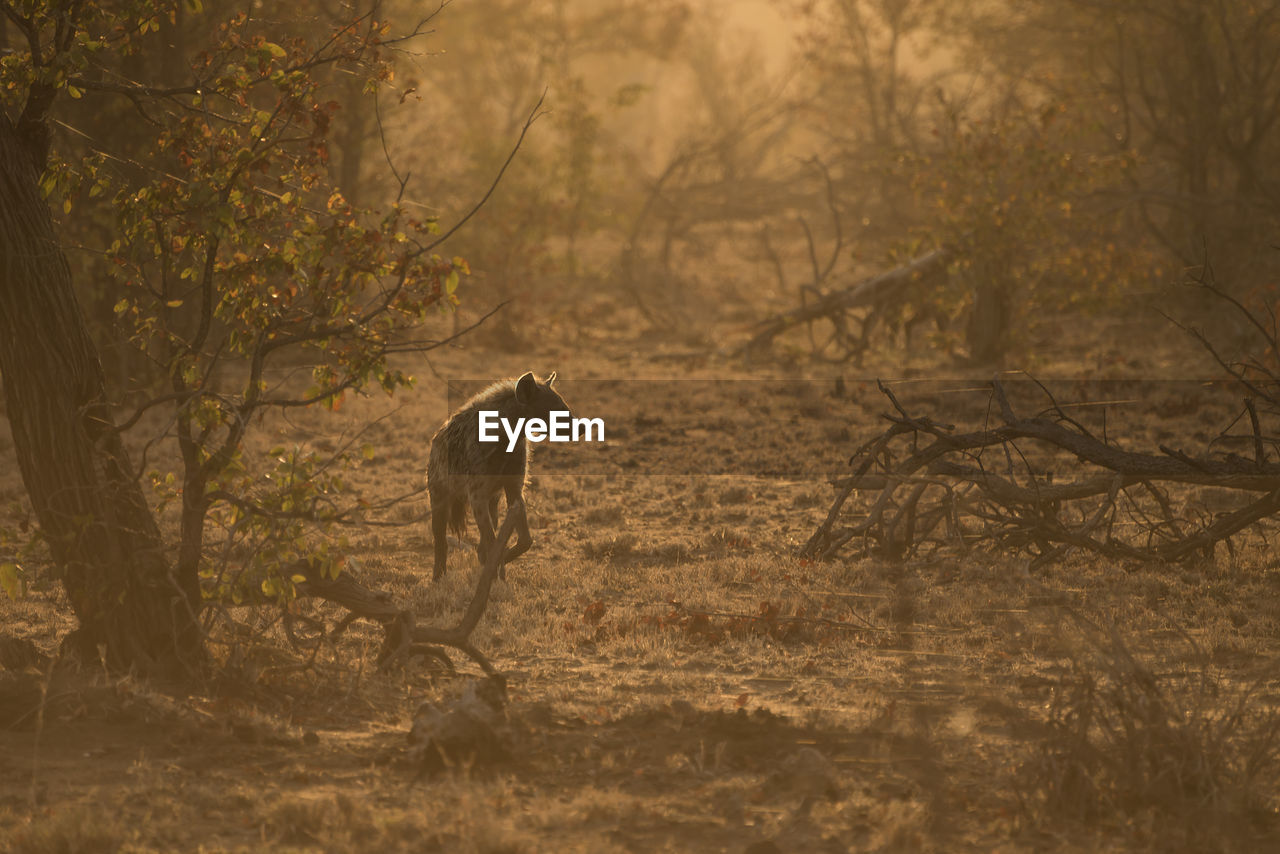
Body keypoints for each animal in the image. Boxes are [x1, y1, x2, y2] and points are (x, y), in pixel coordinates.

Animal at [427, 371, 568, 581]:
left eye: (565, 406)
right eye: (556, 410)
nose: (582, 427)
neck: (507, 440)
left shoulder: (514, 486)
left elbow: (524, 539)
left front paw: (497, 566)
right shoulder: (476, 493)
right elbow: (494, 541)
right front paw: (496, 571)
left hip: (493, 499)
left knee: (488, 529)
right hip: (439, 492)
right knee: (440, 535)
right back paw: (438, 576)